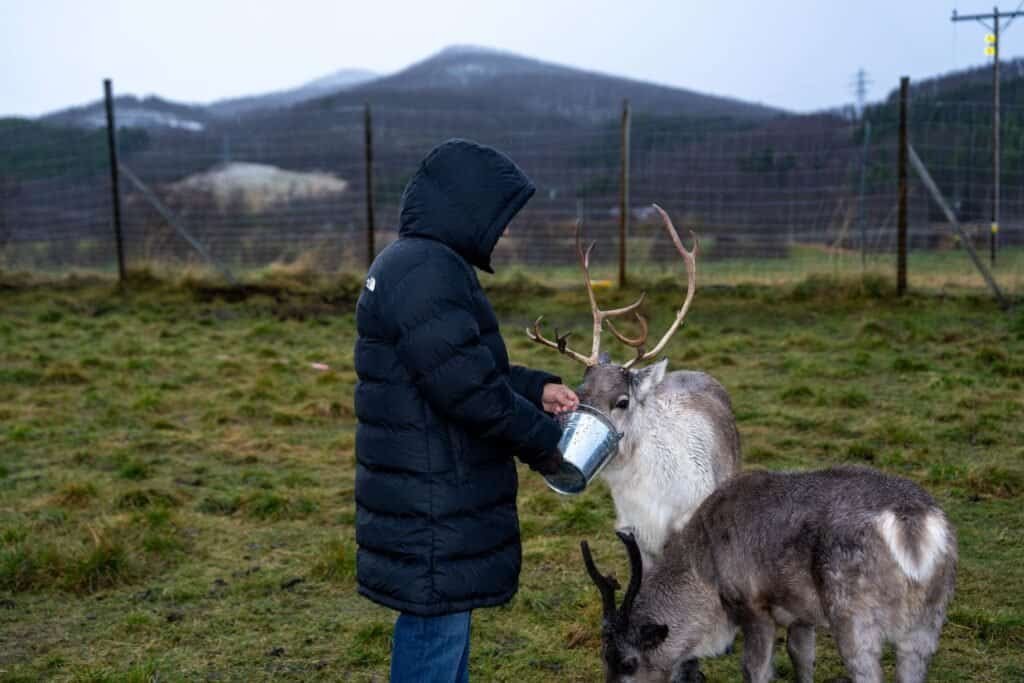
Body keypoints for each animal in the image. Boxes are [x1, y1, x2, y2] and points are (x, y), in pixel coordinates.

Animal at [581, 466, 958, 683]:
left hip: (854, 618)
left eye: (629, 663)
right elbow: (802, 660)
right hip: (927, 622)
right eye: (603, 656)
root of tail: (912, 526)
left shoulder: (754, 608)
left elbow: (756, 670)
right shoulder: (801, 615)